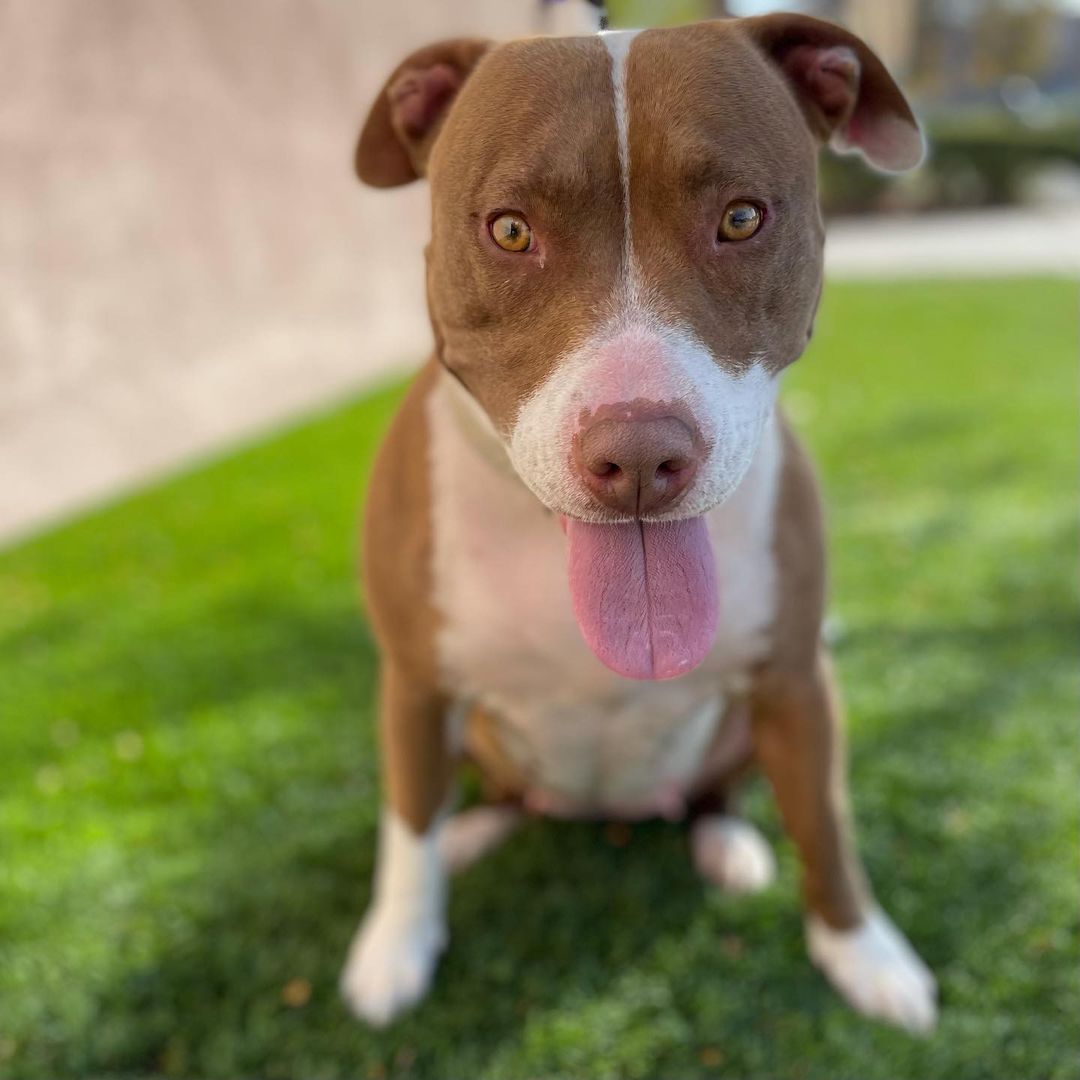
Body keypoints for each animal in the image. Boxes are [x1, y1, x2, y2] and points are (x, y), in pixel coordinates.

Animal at [339, 10, 937, 1036]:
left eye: (741, 218)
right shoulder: (413, 682)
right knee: (481, 798)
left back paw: (727, 844)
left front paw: (864, 953)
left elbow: (826, 823)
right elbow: (405, 824)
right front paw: (395, 946)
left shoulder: (795, 677)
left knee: (717, 793)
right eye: (510, 230)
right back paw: (474, 834)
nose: (640, 457)